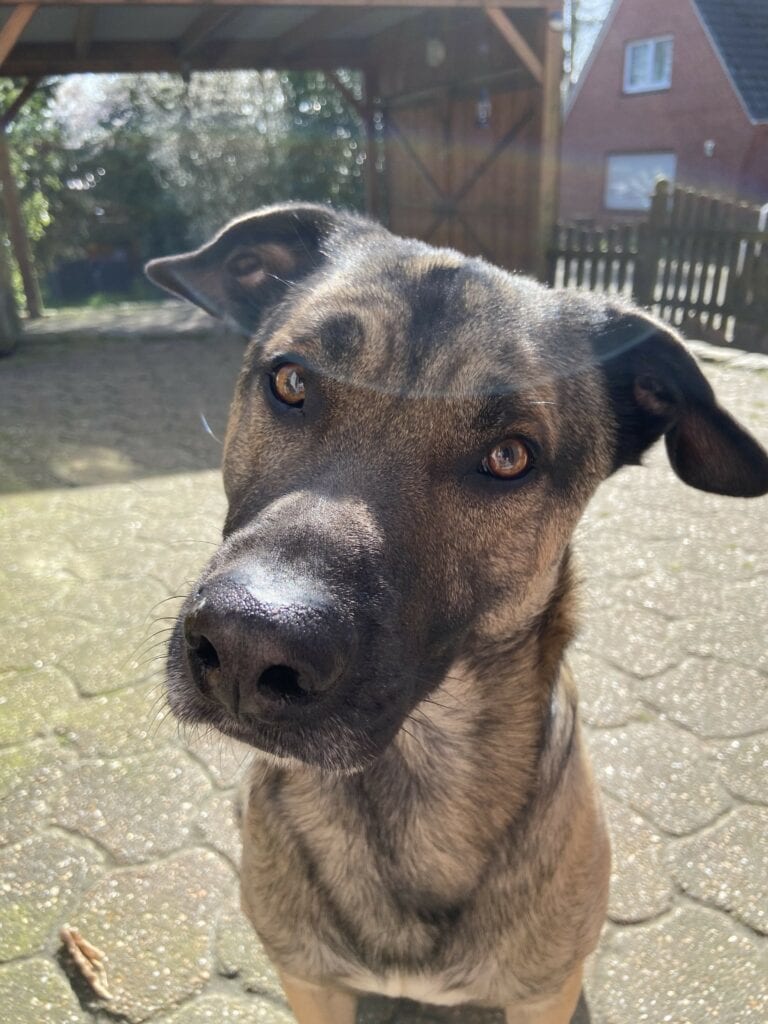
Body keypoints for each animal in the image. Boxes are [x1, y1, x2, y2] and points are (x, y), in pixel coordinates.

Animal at [146, 204, 768, 1024]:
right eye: (291, 381)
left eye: (511, 457)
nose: (250, 645)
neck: (412, 770)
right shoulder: (311, 981)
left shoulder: (543, 993)